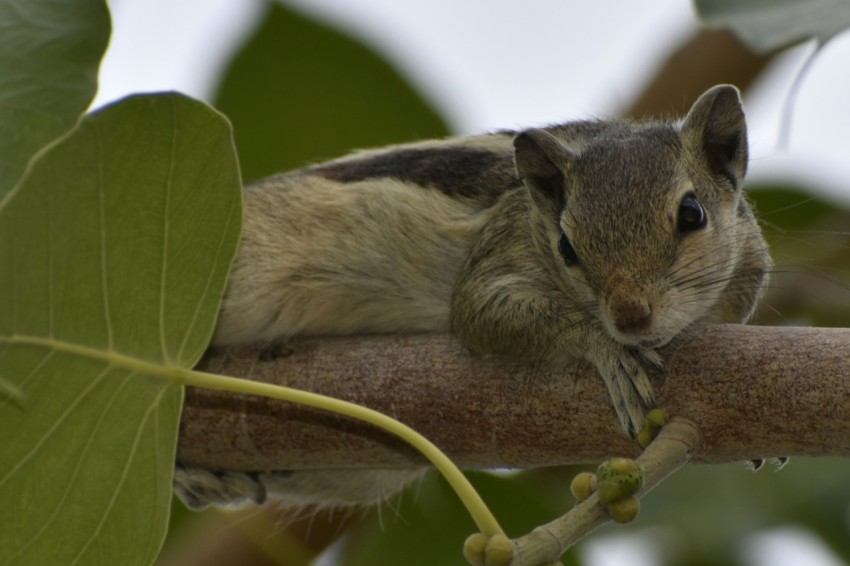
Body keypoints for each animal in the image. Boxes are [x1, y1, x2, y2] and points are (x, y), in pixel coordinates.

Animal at [172, 86, 768, 512]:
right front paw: (606, 348)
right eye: (566, 246)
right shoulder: (498, 252)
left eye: (692, 214)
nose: (630, 316)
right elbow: (478, 312)